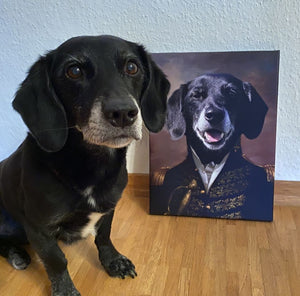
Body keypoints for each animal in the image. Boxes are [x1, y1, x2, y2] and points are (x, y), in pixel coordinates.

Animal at [0, 36, 169, 296]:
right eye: (74, 71)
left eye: (132, 67)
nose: (123, 113)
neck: (93, 166)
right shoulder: (38, 227)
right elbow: (57, 261)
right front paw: (65, 290)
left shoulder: (109, 208)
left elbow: (104, 237)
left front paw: (114, 262)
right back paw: (17, 254)